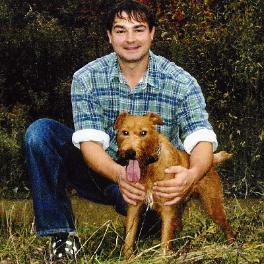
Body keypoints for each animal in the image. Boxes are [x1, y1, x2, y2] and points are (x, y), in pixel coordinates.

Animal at [114, 111, 234, 258]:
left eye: (143, 133)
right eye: (124, 132)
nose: (130, 152)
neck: (149, 167)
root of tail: (212, 160)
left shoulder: (167, 210)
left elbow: (165, 240)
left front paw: (163, 258)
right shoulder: (134, 207)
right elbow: (129, 239)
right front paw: (127, 258)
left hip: (213, 207)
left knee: (227, 226)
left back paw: (232, 246)